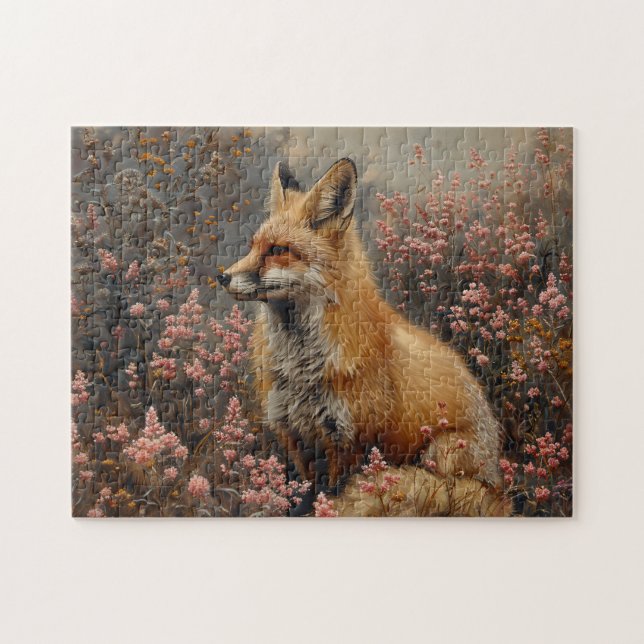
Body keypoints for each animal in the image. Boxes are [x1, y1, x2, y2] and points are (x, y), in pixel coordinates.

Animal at [217, 158, 504, 509]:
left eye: (278, 250)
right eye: (253, 246)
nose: (222, 277)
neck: (301, 364)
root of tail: (498, 480)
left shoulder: (350, 441)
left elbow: (333, 494)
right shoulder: (294, 434)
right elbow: (308, 494)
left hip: (443, 452)